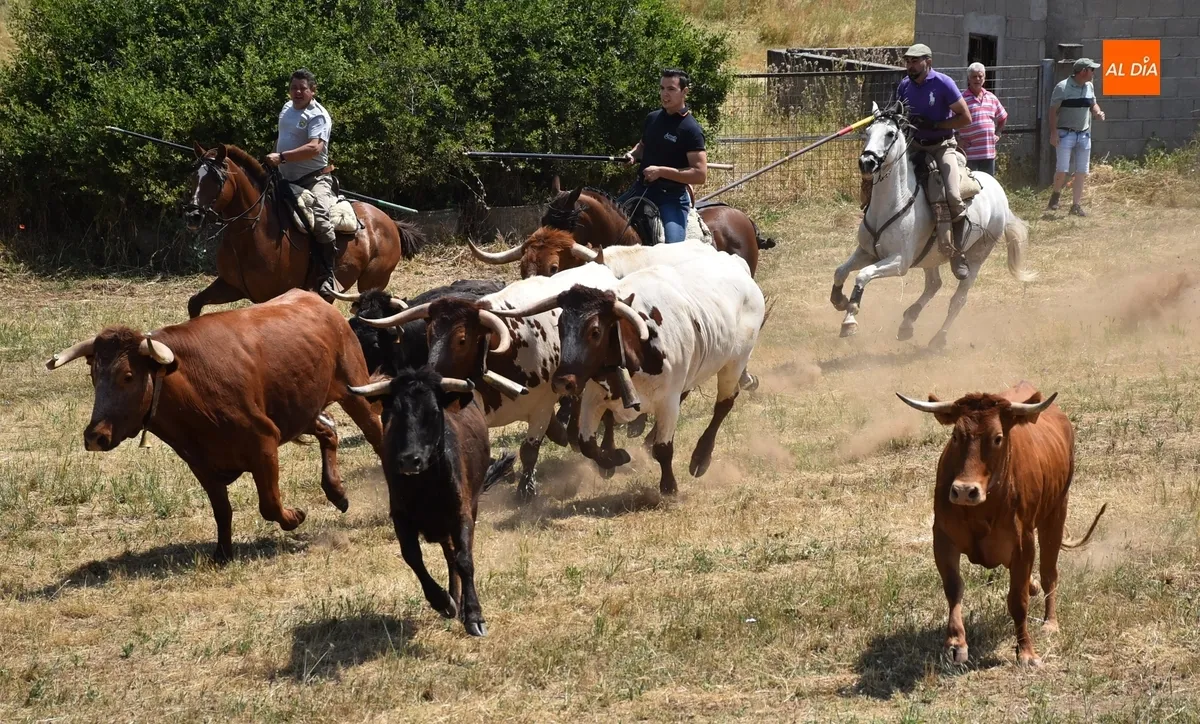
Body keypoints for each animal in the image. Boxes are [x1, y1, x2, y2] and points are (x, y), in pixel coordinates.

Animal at [46, 289, 385, 562]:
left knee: (376, 434)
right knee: (328, 429)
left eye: (128, 376)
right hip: (300, 410)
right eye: (94, 375)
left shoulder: (263, 442)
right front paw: (222, 553)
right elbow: (222, 510)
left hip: (354, 391)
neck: (190, 388)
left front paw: (295, 517)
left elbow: (269, 504)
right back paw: (337, 492)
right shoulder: (200, 464)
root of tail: (316, 300)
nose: (95, 436)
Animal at [349, 368, 515, 637]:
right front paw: (443, 601)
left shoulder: (462, 513)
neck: (425, 486)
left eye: (434, 412)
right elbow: (413, 557)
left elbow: (464, 559)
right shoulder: (400, 517)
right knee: (448, 554)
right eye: (393, 413)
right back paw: (453, 598)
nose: (409, 460)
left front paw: (474, 615)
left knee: (456, 555)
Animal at [356, 263, 622, 499]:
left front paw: (526, 490)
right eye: (430, 334)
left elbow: (529, 449)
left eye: (462, 339)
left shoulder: (541, 407)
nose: (431, 378)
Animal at [493, 254, 766, 494]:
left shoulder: (667, 402)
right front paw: (614, 458)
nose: (562, 382)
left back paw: (701, 457)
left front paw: (669, 486)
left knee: (724, 404)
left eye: (595, 331)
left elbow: (664, 449)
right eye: (560, 326)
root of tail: (734, 262)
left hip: (735, 362)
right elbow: (588, 444)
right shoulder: (593, 398)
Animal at [897, 382, 1107, 667]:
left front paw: (1026, 652)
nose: (964, 491)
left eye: (997, 437)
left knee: (1049, 572)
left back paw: (1050, 622)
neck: (981, 510)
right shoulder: (942, 538)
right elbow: (953, 588)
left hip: (1056, 513)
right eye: (956, 435)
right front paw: (956, 644)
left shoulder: (1023, 544)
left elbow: (1017, 600)